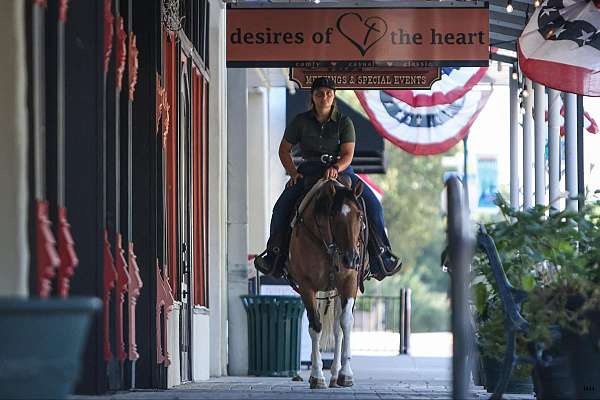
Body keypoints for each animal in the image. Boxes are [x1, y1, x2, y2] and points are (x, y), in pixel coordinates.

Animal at [288, 177, 366, 388]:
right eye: (334, 216)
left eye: (359, 215)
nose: (352, 259)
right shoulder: (306, 286)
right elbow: (315, 326)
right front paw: (316, 375)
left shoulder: (349, 282)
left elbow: (346, 322)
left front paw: (346, 374)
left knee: (338, 329)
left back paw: (335, 374)